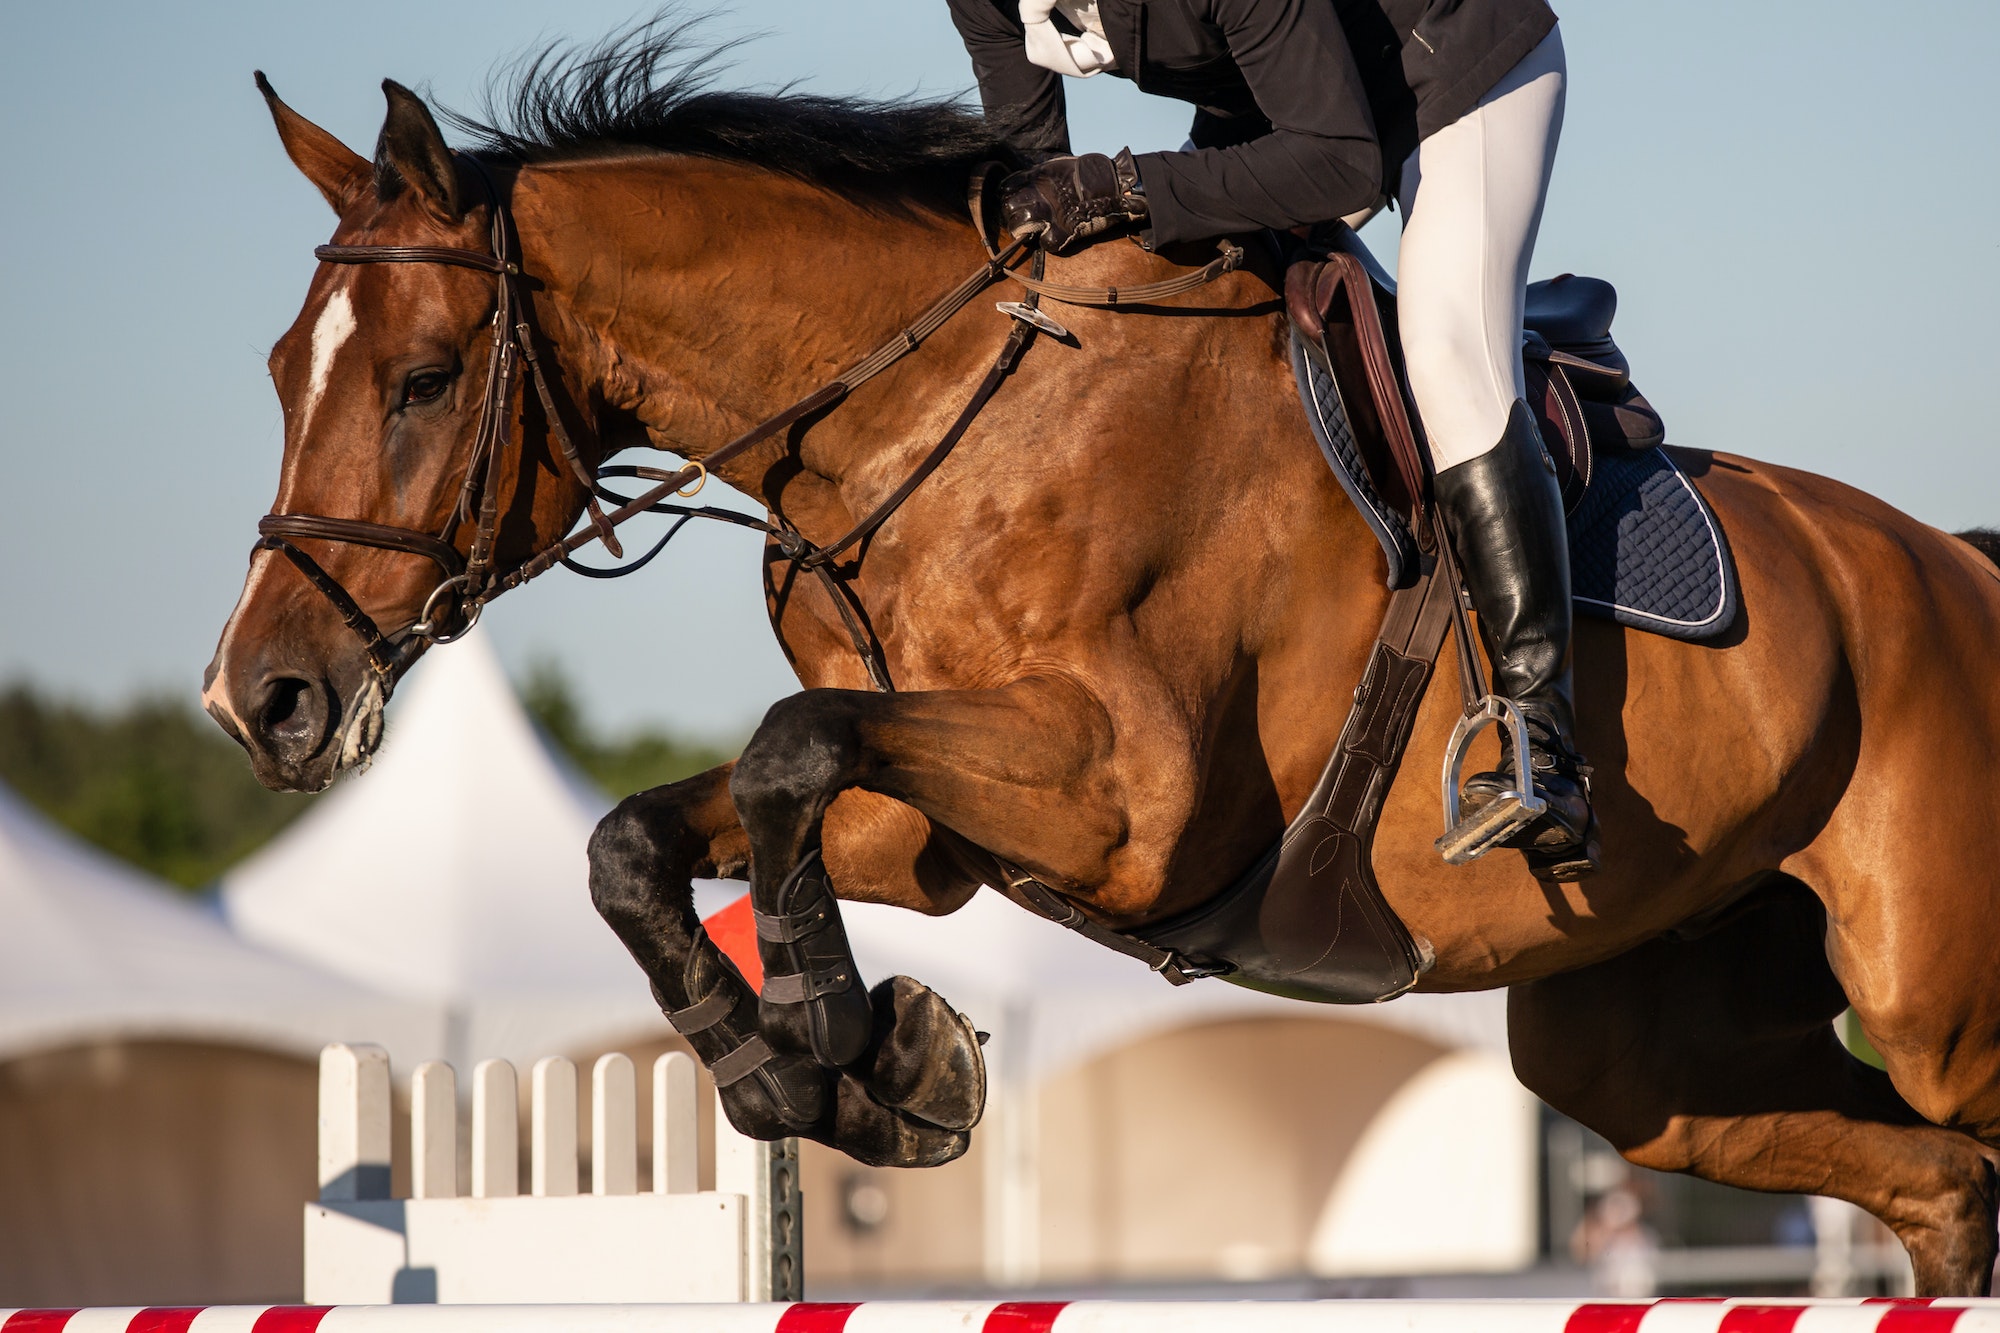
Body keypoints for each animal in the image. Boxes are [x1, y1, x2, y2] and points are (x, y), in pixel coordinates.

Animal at [203, 39, 2000, 1288]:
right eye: (283, 368)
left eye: (426, 379)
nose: (257, 698)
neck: (918, 412)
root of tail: (1952, 560)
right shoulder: (924, 825)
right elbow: (645, 832)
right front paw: (831, 1069)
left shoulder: (1126, 802)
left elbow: (789, 746)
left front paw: (854, 1035)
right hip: (1643, 1039)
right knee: (1935, 1180)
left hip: (1930, 993)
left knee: (1952, 1117)